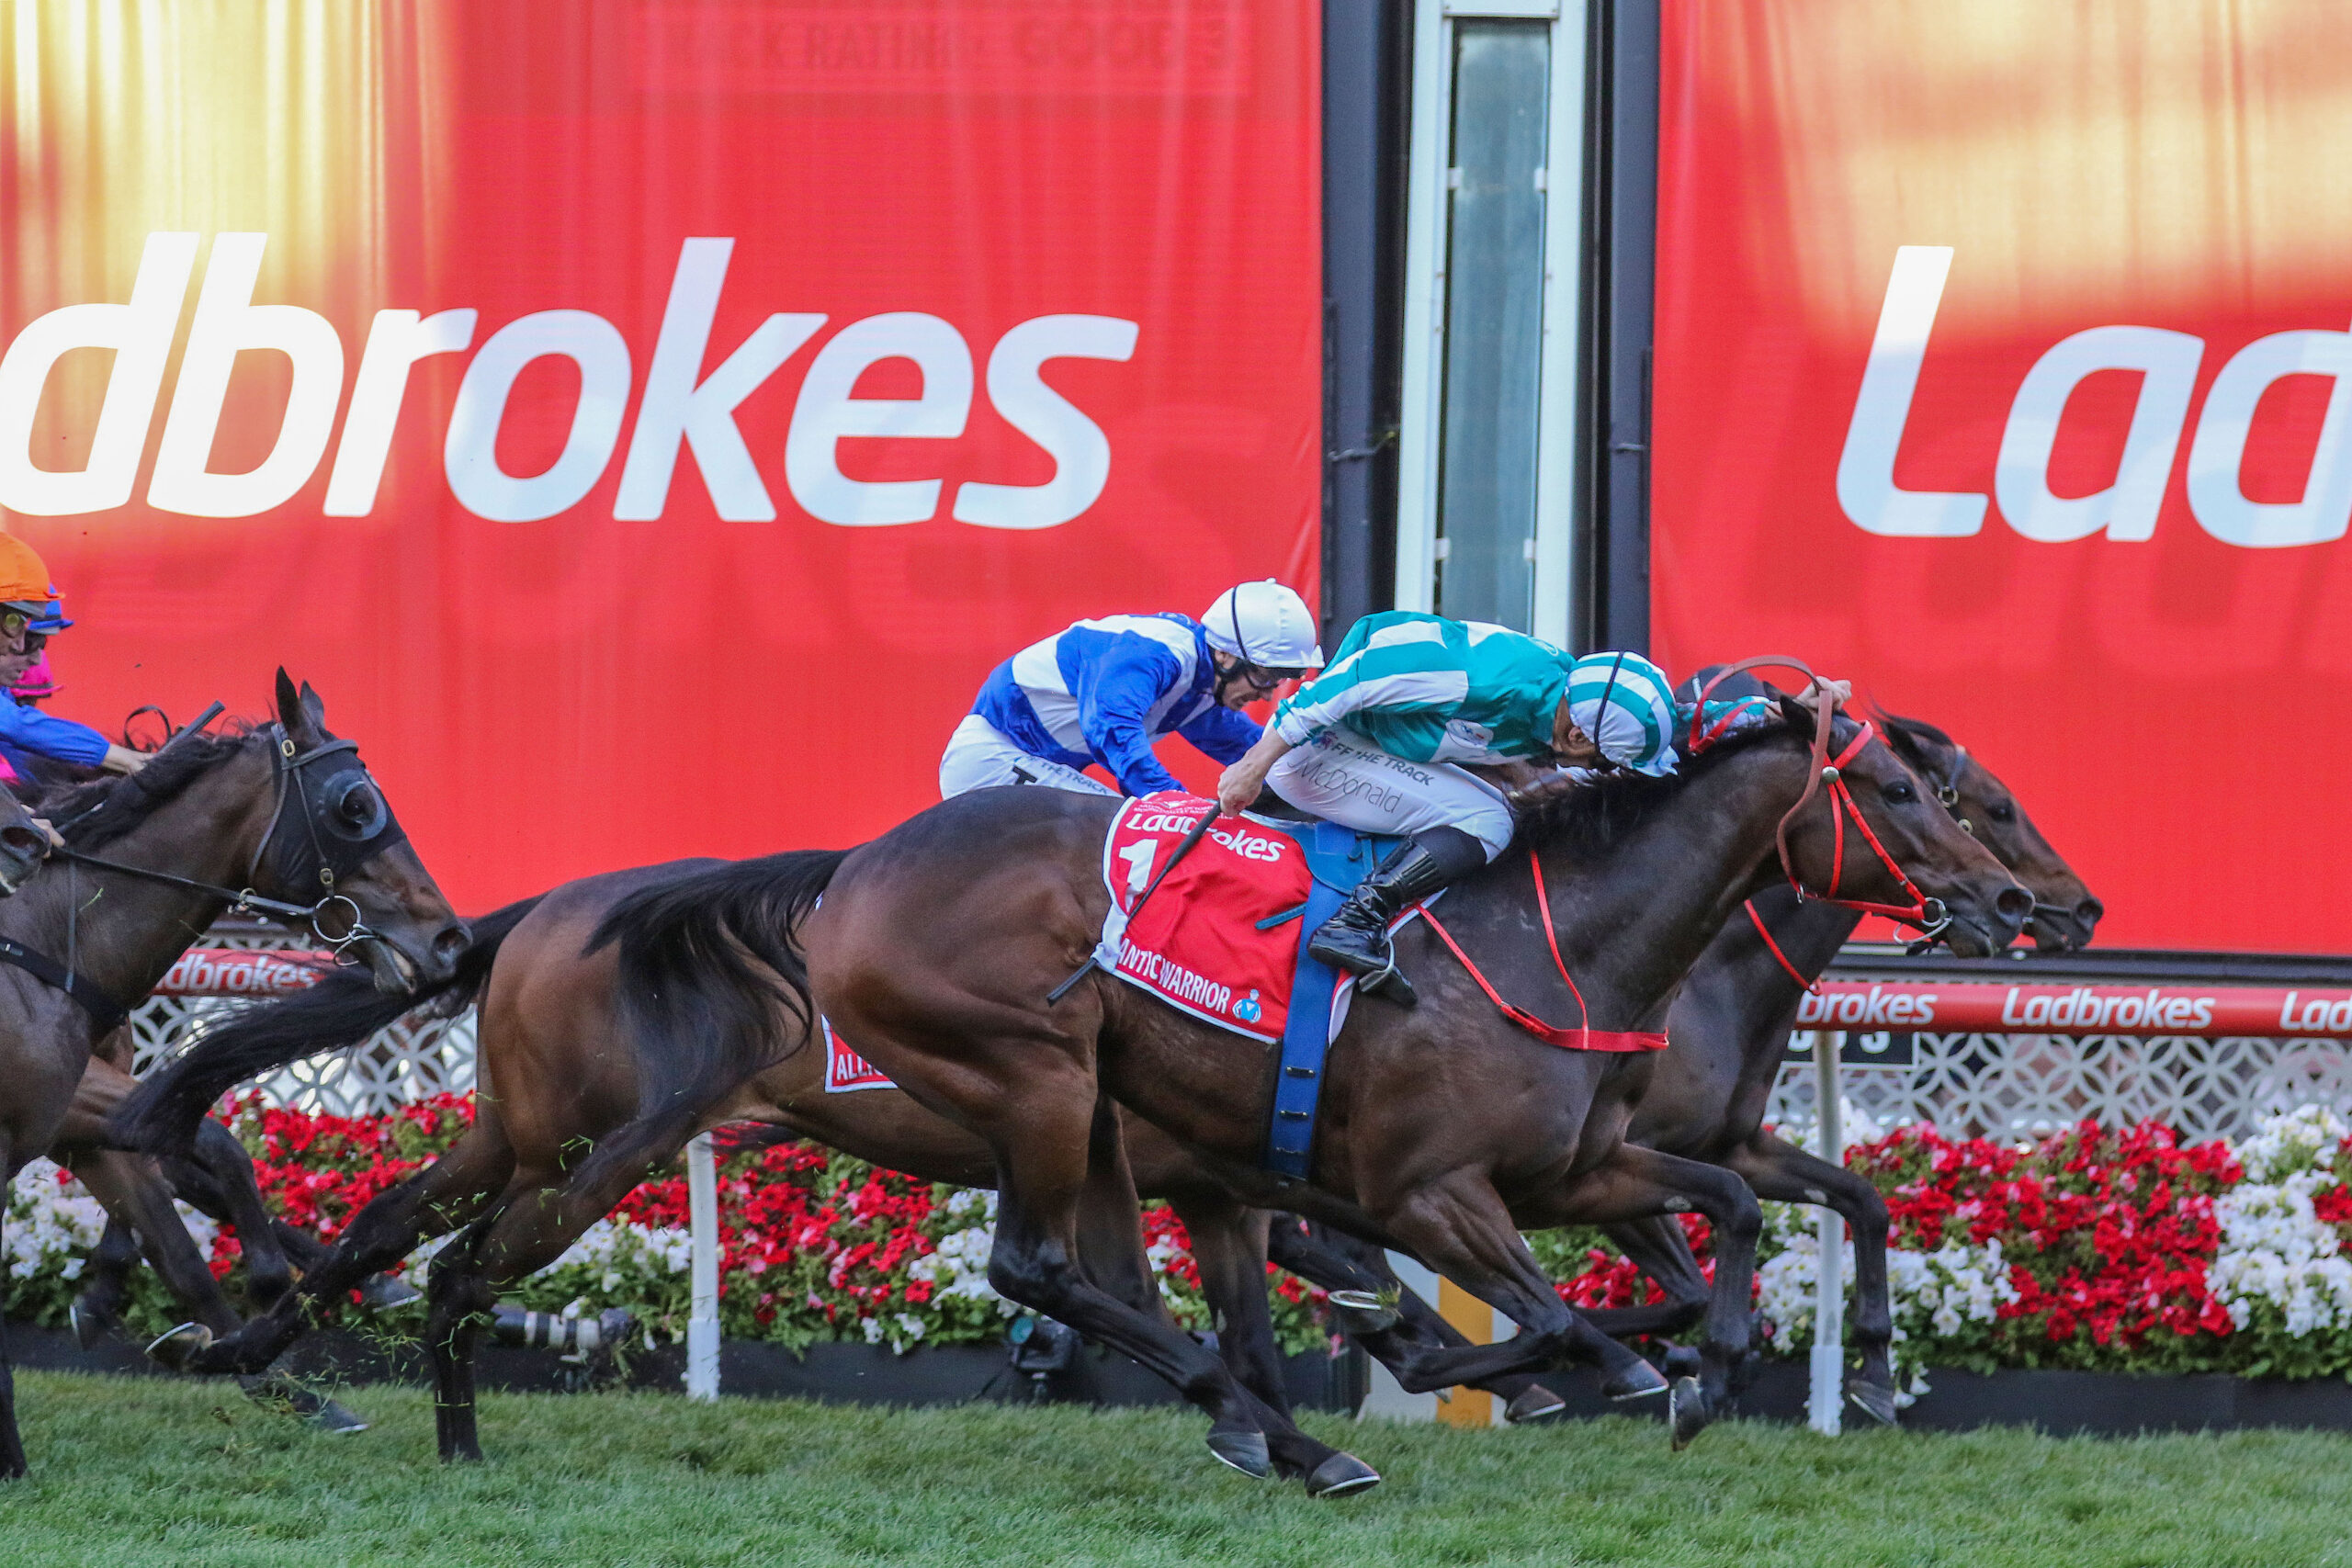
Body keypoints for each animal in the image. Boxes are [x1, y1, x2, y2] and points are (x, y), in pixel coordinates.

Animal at [0, 672, 469, 1477]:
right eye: (354, 804)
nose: (449, 938)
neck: (44, 937)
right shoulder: (56, 1108)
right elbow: (202, 1166)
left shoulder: (76, 1110)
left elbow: (178, 1219)